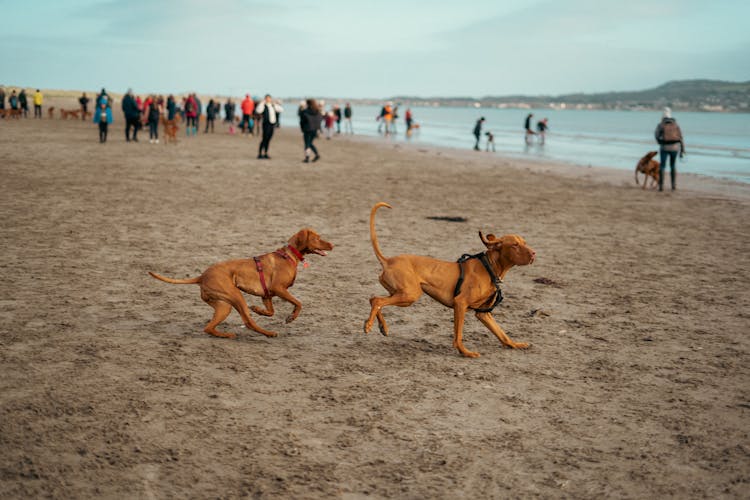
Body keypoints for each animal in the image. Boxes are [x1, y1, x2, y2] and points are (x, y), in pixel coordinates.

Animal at [148, 229, 334, 338]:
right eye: (318, 238)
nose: (332, 244)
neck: (289, 255)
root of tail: (201, 276)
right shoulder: (278, 288)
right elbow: (299, 303)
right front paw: (291, 317)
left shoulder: (267, 295)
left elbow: (270, 312)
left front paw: (258, 310)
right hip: (236, 296)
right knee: (248, 322)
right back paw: (268, 333)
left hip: (224, 305)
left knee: (209, 327)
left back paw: (226, 334)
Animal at [364, 201, 536, 358]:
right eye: (514, 245)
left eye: (524, 243)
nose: (534, 253)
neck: (489, 267)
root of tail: (388, 260)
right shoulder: (460, 304)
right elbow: (458, 335)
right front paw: (465, 352)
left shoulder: (483, 314)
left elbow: (502, 333)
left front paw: (516, 344)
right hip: (410, 295)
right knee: (377, 301)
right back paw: (369, 325)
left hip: (401, 294)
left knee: (374, 299)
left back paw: (382, 327)